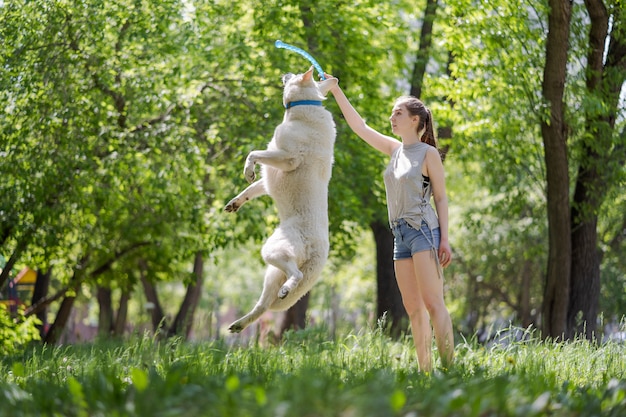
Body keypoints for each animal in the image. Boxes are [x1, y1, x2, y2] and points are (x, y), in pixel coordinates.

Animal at [222, 66, 334, 332]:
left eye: (295, 74)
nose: (286, 72)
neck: (305, 107)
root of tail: (318, 251)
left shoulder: (286, 158)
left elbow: (253, 154)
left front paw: (247, 169)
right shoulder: (269, 176)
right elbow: (250, 189)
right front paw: (235, 202)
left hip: (272, 251)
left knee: (296, 276)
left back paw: (286, 289)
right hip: (272, 272)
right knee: (263, 306)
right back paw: (239, 324)